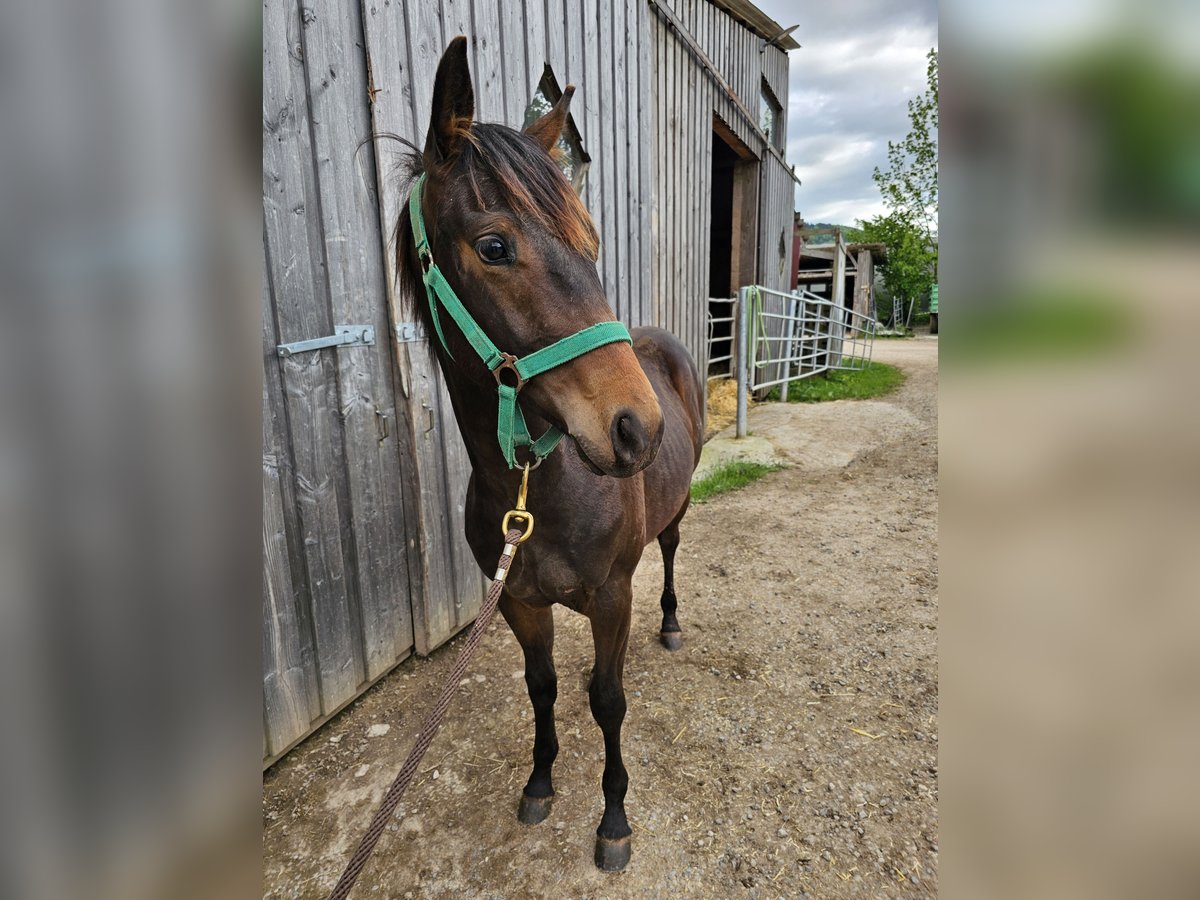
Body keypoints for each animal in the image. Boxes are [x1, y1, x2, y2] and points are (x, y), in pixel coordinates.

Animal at [396, 37, 700, 873]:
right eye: (494, 246)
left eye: (591, 243)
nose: (637, 428)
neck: (537, 490)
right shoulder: (520, 604)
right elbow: (543, 687)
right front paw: (539, 782)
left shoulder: (611, 597)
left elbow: (608, 699)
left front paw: (614, 819)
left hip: (675, 516)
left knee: (671, 553)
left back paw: (672, 624)